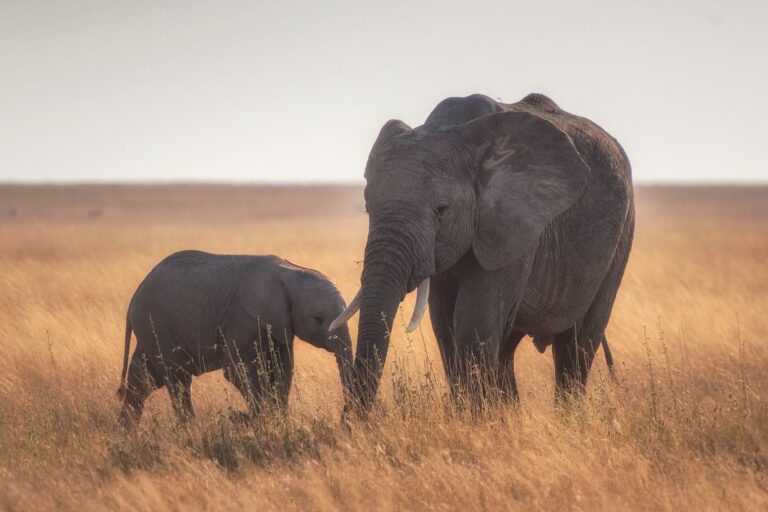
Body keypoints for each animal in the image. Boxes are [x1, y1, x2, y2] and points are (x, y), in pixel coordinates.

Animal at [115, 250, 356, 426]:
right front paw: (260, 421)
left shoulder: (279, 325)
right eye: (318, 319)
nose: (345, 418)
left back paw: (127, 430)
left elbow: (283, 370)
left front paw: (278, 422)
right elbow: (238, 371)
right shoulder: (242, 319)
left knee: (143, 378)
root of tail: (133, 300)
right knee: (177, 378)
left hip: (152, 330)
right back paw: (190, 429)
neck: (291, 271)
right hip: (157, 325)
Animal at [332, 92, 636, 412]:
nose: (353, 420)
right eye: (368, 207)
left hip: (621, 237)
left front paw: (475, 419)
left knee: (577, 346)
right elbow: (445, 326)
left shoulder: (513, 223)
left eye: (441, 210)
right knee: (508, 349)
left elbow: (473, 324)